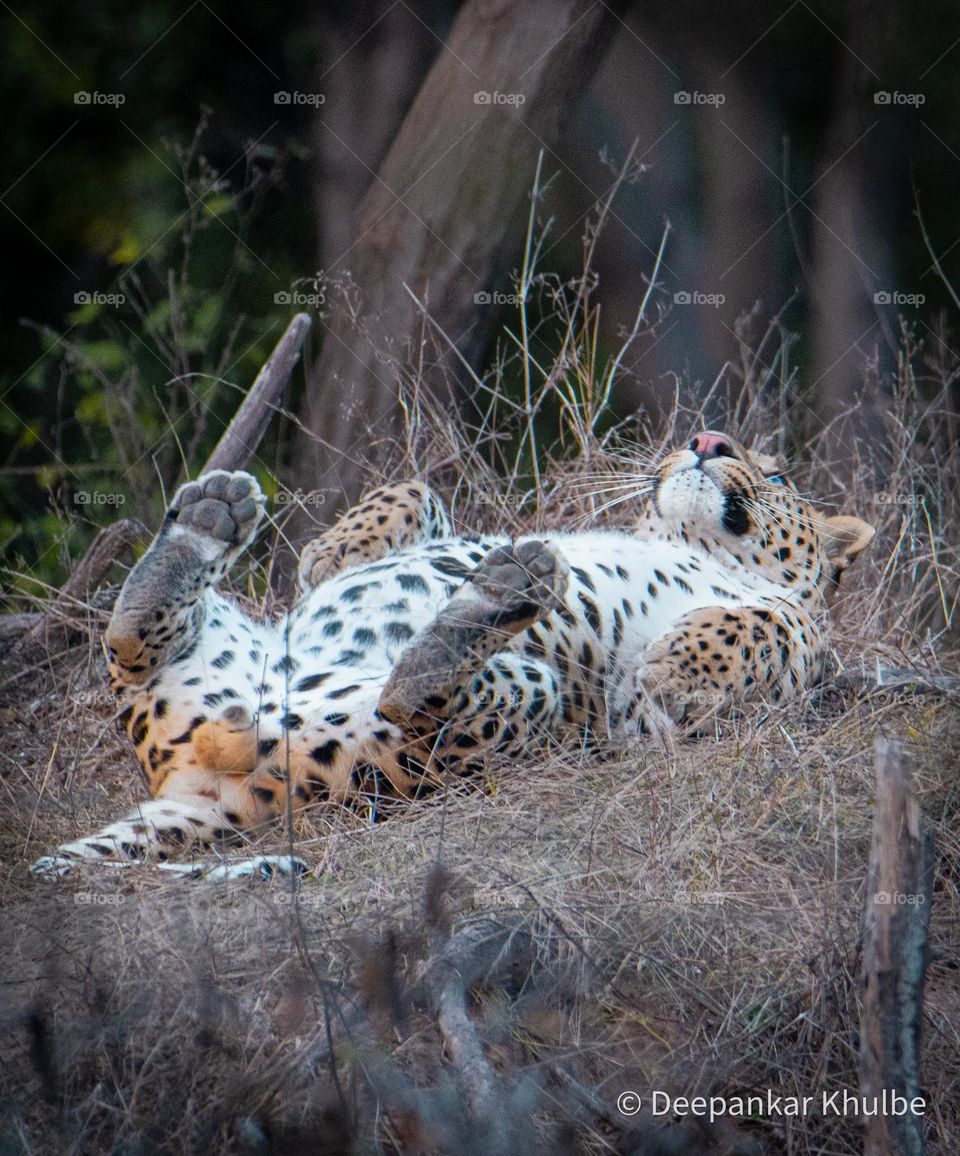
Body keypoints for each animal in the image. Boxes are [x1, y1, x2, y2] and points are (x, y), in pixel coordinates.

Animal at [29, 430, 874, 879]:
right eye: (698, 439)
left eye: (777, 473)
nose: (706, 441)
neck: (688, 539)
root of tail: (210, 781)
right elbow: (414, 496)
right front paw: (335, 552)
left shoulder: (760, 664)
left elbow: (770, 627)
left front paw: (671, 664)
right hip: (218, 653)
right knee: (129, 643)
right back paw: (203, 525)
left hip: (509, 718)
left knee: (419, 706)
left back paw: (494, 599)